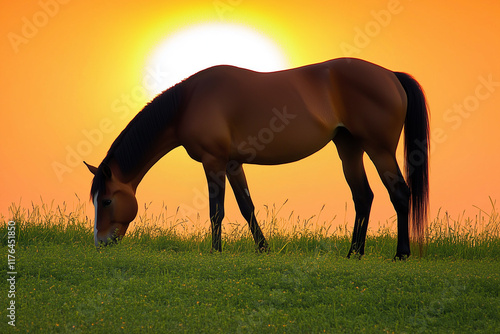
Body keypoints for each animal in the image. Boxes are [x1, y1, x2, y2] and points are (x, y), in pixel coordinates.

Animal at [86, 57, 430, 260]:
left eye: (107, 200)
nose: (100, 242)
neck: (189, 102)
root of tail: (390, 75)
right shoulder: (232, 163)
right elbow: (246, 206)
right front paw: (263, 248)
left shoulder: (213, 162)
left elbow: (217, 211)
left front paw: (216, 252)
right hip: (349, 148)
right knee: (363, 197)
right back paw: (354, 253)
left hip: (379, 149)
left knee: (399, 193)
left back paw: (401, 254)